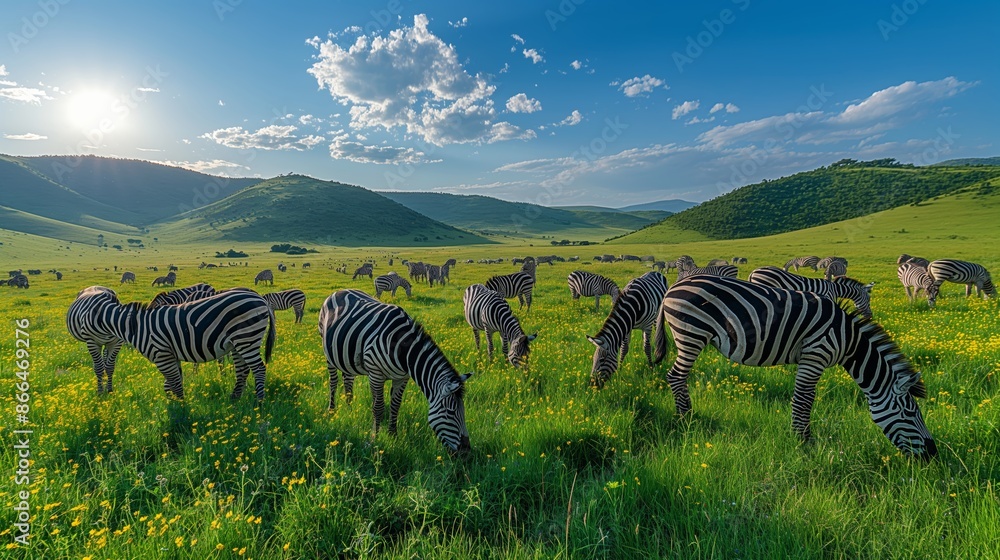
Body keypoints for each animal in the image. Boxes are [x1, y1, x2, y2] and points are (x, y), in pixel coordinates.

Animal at [318, 289, 473, 454]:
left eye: (463, 410)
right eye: (450, 412)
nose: (466, 452)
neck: (403, 349)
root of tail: (340, 290)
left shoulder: (402, 378)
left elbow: (395, 406)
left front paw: (393, 436)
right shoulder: (376, 373)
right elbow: (378, 407)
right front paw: (374, 440)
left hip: (347, 358)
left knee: (348, 381)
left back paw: (349, 409)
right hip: (328, 353)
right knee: (333, 383)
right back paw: (332, 412)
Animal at [652, 275, 936, 458]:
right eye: (911, 413)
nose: (933, 454)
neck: (848, 340)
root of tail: (673, 286)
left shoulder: (811, 358)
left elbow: (803, 399)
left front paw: (801, 437)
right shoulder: (815, 354)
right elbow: (804, 399)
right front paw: (804, 441)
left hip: (689, 335)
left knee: (677, 376)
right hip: (691, 333)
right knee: (676, 376)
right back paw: (686, 418)